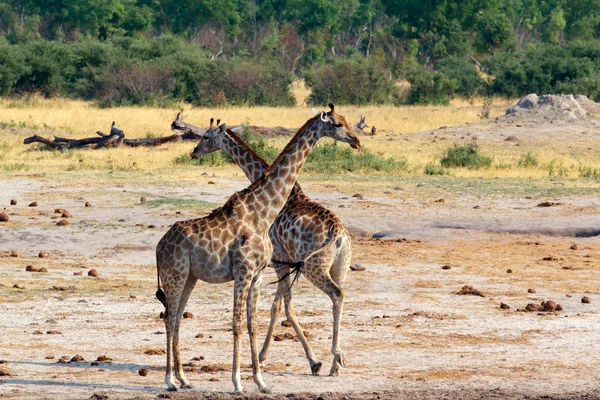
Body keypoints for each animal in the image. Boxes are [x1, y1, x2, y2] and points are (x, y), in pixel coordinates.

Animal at [156, 104, 360, 394]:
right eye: (338, 123)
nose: (356, 141)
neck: (263, 211)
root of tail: (159, 245)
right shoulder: (250, 270)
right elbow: (242, 322)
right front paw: (239, 381)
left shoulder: (262, 272)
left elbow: (256, 321)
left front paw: (261, 379)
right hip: (176, 276)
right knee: (170, 317)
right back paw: (170, 380)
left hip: (190, 278)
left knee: (175, 318)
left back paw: (182, 379)